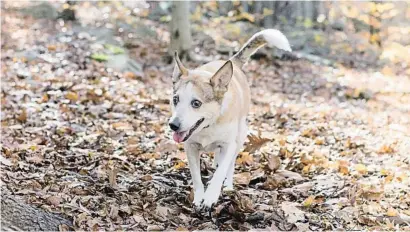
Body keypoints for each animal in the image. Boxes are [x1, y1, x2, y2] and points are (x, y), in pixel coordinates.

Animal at [168, 29, 290, 208]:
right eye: (175, 99)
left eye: (196, 103)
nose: (173, 125)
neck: (209, 124)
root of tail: (232, 61)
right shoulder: (190, 147)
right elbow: (196, 176)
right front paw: (199, 197)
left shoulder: (229, 145)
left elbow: (221, 171)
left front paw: (211, 196)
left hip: (241, 135)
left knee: (230, 164)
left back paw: (228, 186)